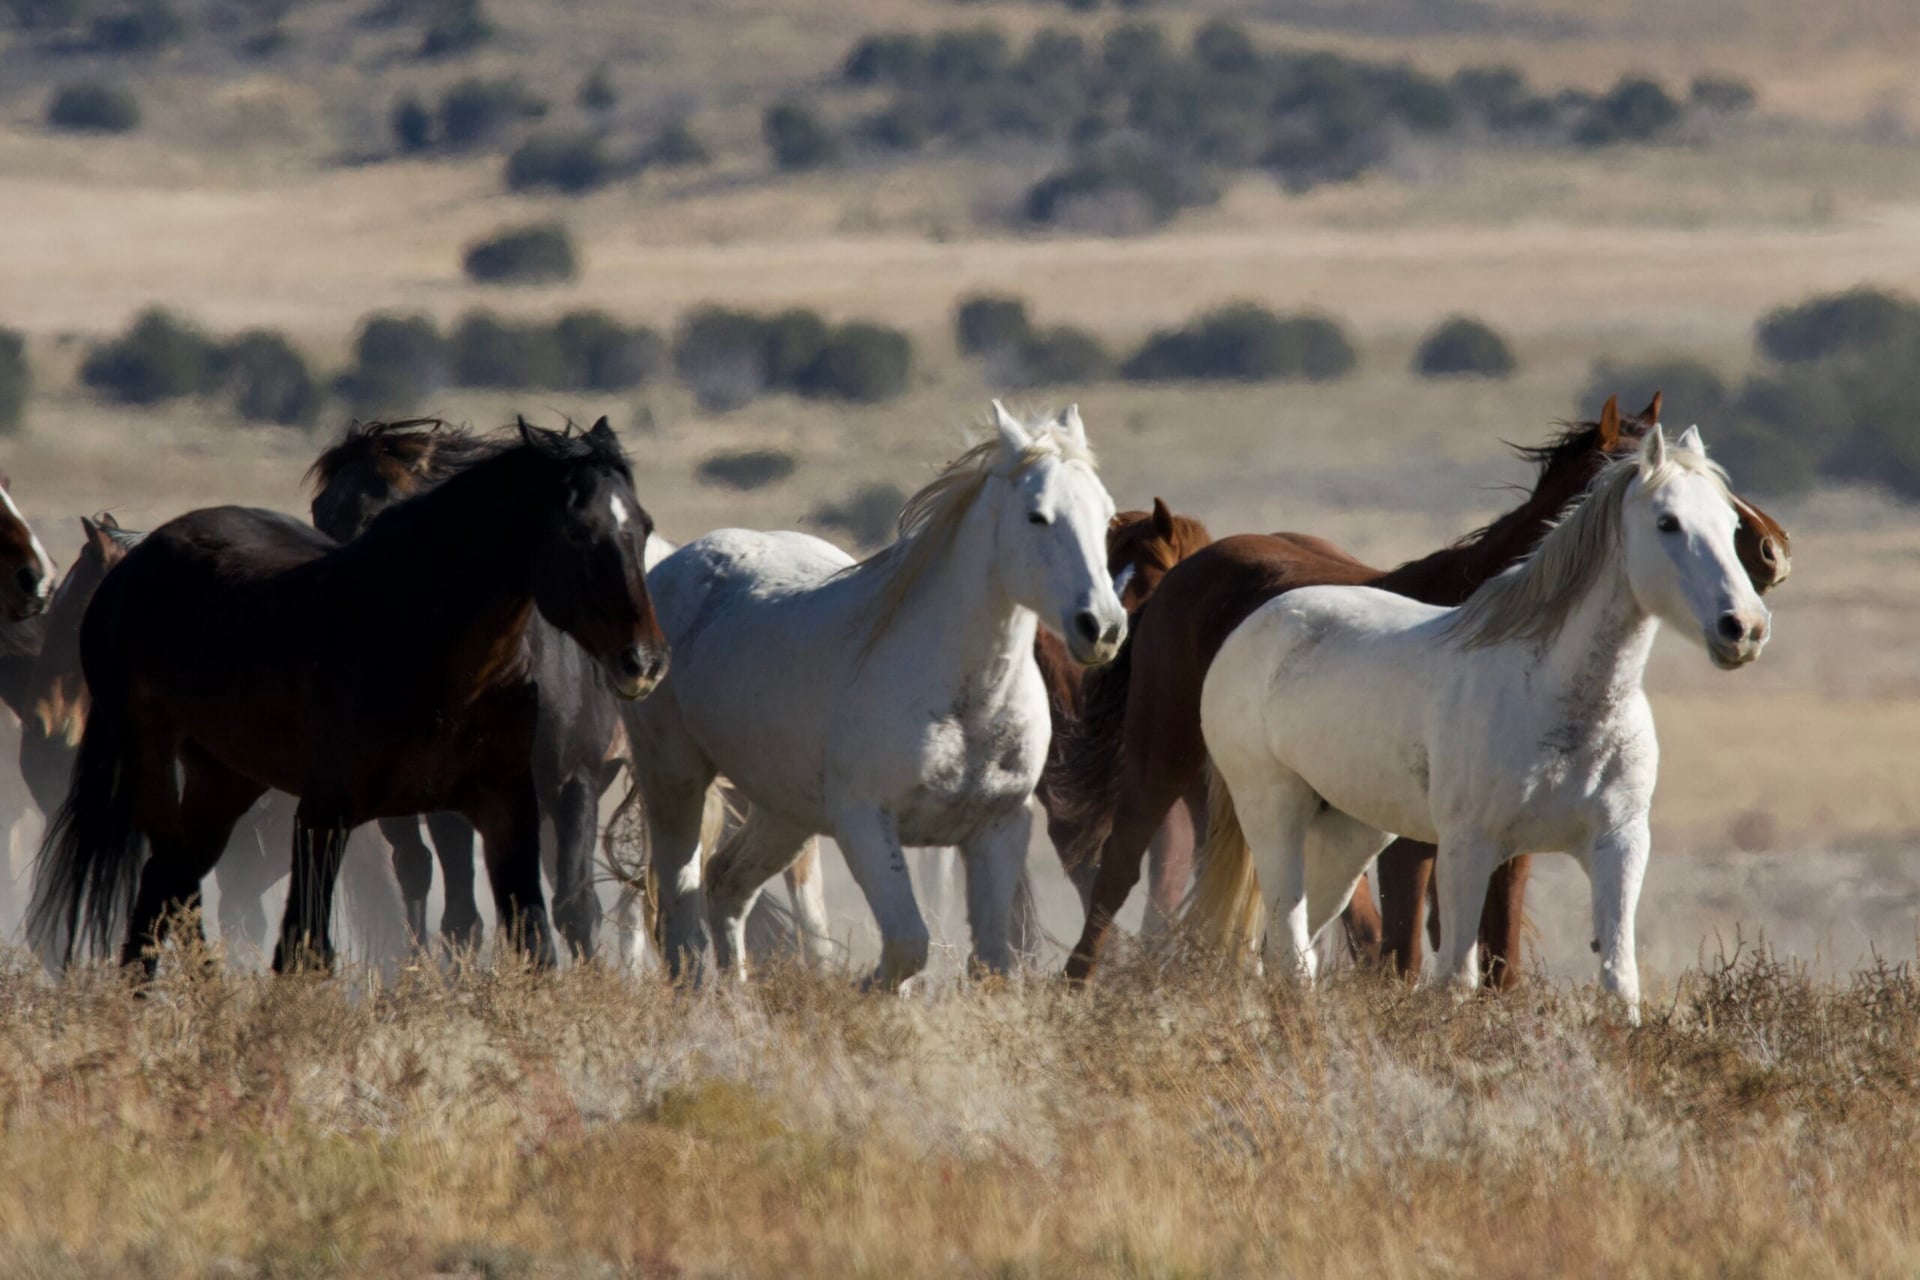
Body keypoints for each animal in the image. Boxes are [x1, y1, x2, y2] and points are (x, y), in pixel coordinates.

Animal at [28, 419, 665, 974]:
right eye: (577, 530)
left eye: (643, 525)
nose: (644, 660)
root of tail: (141, 559)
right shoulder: (332, 809)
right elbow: (315, 944)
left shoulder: (531, 795)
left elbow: (542, 928)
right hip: (154, 758)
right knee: (175, 888)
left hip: (224, 775)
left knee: (170, 883)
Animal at [626, 402, 1125, 987]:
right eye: (1036, 516)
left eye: (1107, 516)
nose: (1102, 628)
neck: (965, 699)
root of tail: (671, 566)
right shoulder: (865, 824)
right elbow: (909, 944)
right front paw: (863, 990)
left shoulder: (999, 828)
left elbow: (990, 961)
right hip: (674, 780)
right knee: (683, 919)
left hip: (786, 811)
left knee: (726, 884)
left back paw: (740, 1005)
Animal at [1056, 394, 1792, 984]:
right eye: (1663, 516)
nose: (1771, 550)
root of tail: (1186, 571)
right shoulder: (1426, 850)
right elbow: (1410, 959)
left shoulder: (1527, 852)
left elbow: (1503, 963)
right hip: (1165, 769)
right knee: (1117, 878)